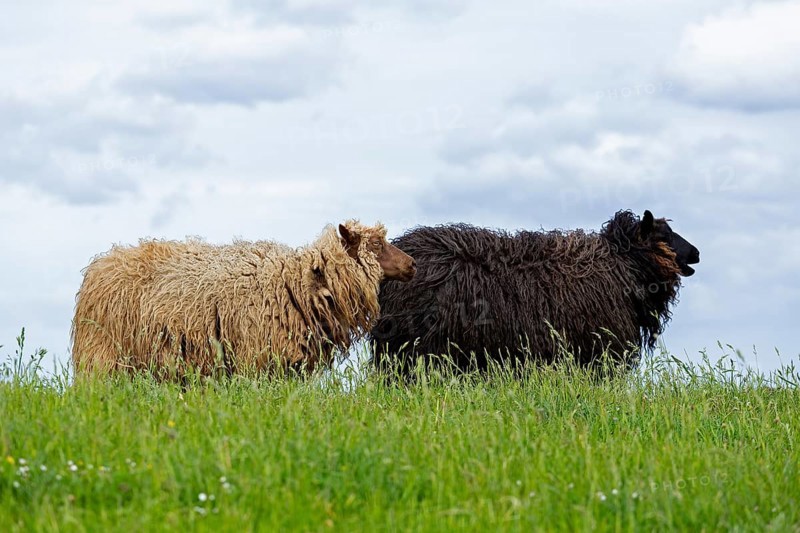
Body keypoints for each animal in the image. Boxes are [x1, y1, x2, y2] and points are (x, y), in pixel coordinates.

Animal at [71, 220, 416, 377]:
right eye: (376, 246)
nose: (412, 264)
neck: (299, 282)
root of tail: (100, 264)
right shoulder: (258, 360)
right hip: (102, 356)